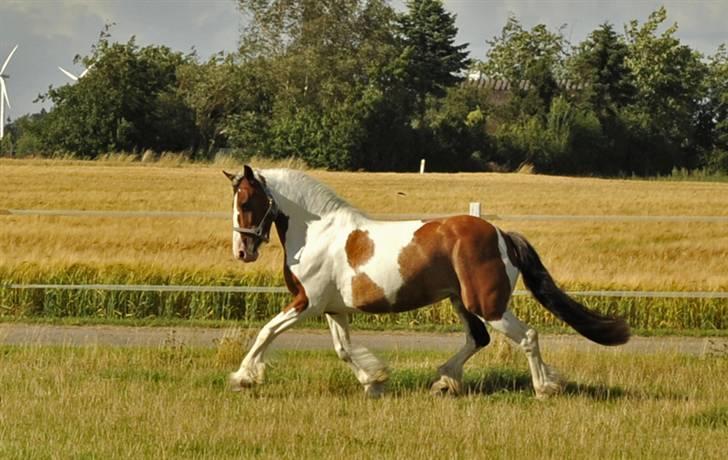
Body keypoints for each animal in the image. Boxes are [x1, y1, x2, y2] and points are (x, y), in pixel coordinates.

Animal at [225, 166, 628, 398]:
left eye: (245, 202)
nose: (242, 252)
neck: (318, 231)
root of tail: (500, 234)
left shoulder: (306, 302)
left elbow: (266, 331)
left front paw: (243, 377)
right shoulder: (333, 309)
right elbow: (343, 349)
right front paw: (374, 381)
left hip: (487, 303)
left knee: (526, 336)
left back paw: (544, 388)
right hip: (460, 301)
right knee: (478, 338)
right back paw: (445, 380)